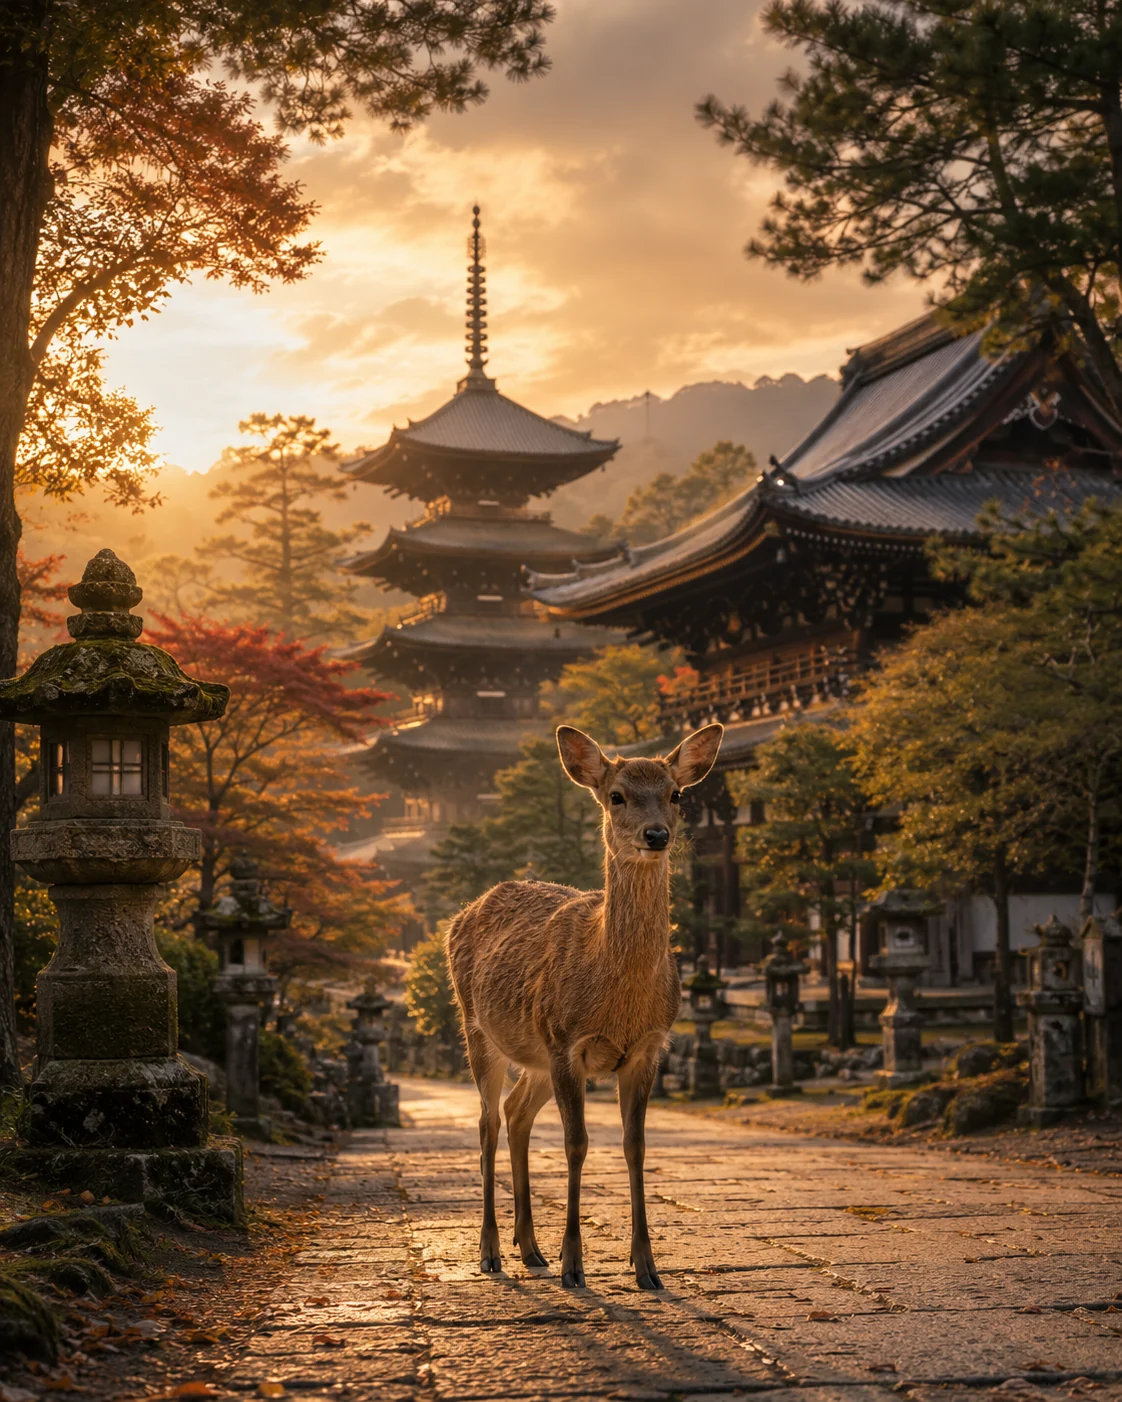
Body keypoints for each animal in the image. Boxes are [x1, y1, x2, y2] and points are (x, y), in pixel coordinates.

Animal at [446, 722, 723, 1291]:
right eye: (616, 795)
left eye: (676, 794)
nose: (656, 835)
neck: (616, 999)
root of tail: (458, 917)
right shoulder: (566, 1040)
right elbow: (576, 1144)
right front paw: (574, 1265)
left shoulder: (648, 1047)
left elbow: (635, 1146)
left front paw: (647, 1267)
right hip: (478, 1028)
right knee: (486, 1122)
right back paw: (491, 1253)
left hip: (534, 1056)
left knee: (515, 1113)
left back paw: (530, 1249)